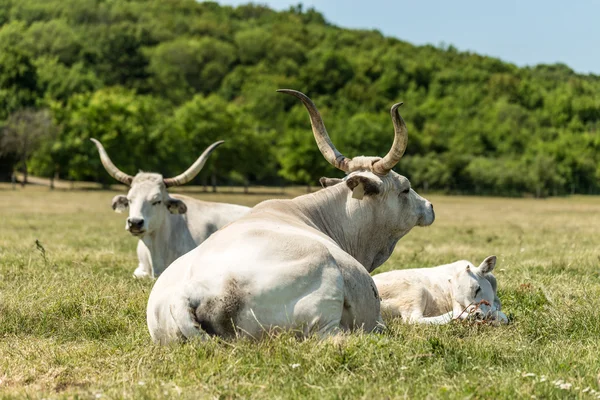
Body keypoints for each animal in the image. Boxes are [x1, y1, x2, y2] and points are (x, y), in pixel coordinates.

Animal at [376, 256, 506, 324]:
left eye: (478, 289)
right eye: (459, 300)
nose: (476, 313)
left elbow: (503, 317)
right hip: (415, 292)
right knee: (414, 319)